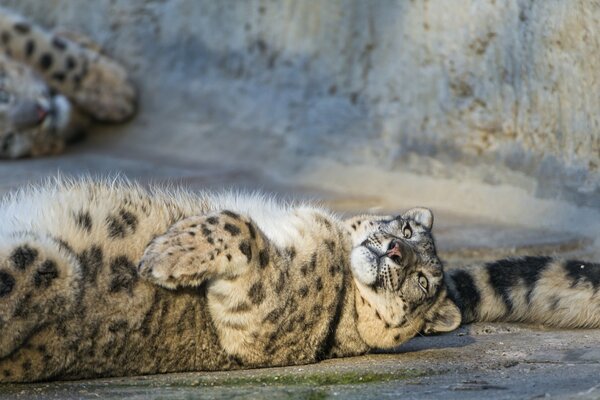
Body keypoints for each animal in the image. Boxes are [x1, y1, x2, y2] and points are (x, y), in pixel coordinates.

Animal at [0, 180, 596, 382]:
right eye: (406, 230)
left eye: (425, 282)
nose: (396, 252)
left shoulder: (260, 319)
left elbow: (240, 228)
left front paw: (164, 255)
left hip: (44, 263)